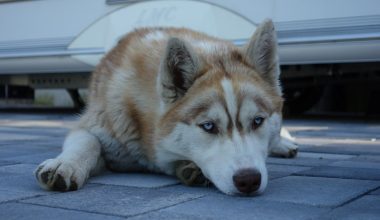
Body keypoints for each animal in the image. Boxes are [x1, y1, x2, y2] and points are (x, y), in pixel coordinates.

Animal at [35, 19, 296, 195]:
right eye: (208, 126)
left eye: (257, 121)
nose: (249, 180)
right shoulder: (97, 123)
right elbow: (87, 143)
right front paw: (65, 164)